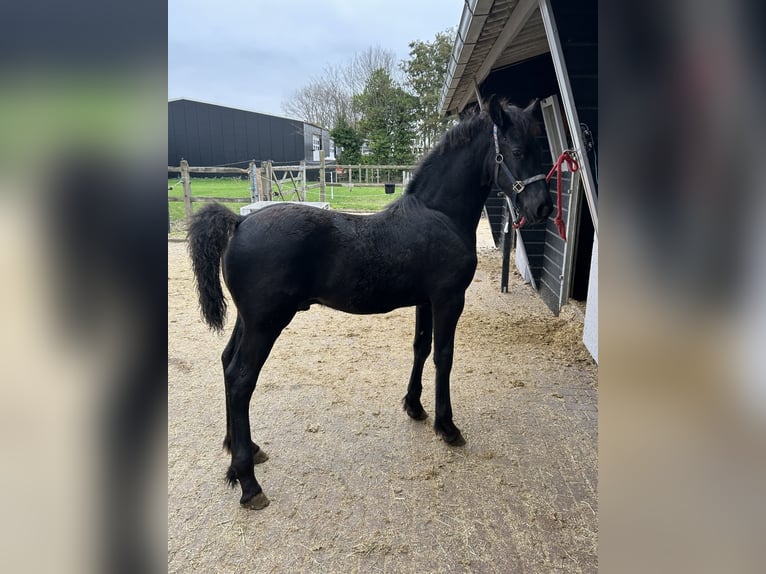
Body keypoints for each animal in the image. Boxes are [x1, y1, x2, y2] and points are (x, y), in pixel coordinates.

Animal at [187, 97, 553, 509]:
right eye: (517, 151)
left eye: (542, 149)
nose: (543, 208)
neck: (439, 214)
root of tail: (238, 223)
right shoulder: (448, 299)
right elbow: (444, 356)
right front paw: (447, 426)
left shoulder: (425, 301)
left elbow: (421, 348)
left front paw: (415, 407)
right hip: (266, 324)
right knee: (240, 379)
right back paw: (248, 482)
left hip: (248, 321)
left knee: (225, 362)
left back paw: (242, 451)